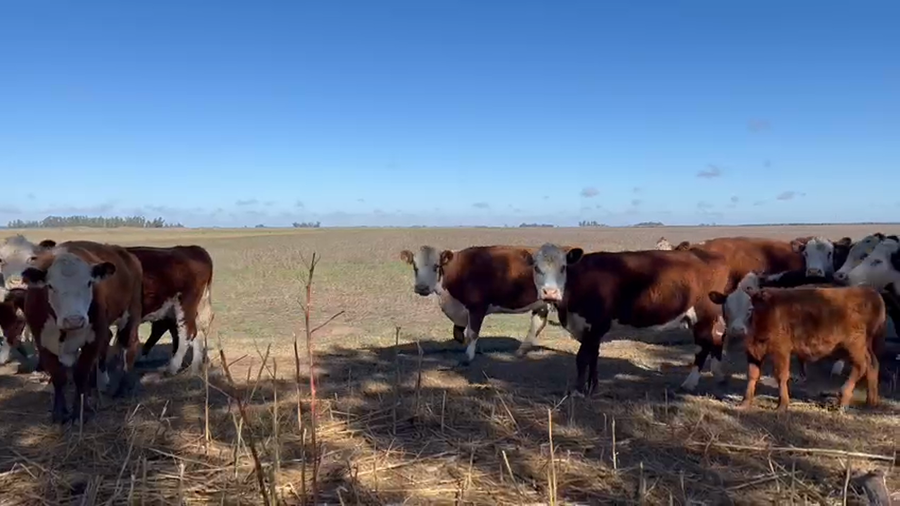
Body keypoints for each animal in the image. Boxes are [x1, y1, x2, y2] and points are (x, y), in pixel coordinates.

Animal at [21, 240, 144, 423]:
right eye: (50, 286)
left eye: (89, 283)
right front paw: (59, 412)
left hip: (131, 313)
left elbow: (80, 374)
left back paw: (123, 388)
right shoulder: (42, 341)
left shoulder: (92, 339)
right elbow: (58, 376)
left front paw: (79, 413)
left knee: (130, 345)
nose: (74, 319)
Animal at [399, 245, 550, 363]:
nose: (422, 288)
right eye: (415, 267)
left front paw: (469, 356)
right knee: (537, 325)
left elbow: (472, 333)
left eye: (436, 266)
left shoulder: (477, 307)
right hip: (541, 305)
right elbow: (458, 333)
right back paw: (520, 351)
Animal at [527, 243, 734, 396]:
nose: (550, 293)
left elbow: (583, 357)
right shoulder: (589, 329)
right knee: (716, 340)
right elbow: (593, 357)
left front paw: (578, 391)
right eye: (536, 268)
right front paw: (592, 387)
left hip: (704, 315)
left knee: (703, 346)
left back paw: (689, 383)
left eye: (563, 268)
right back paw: (719, 375)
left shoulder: (598, 324)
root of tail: (706, 254)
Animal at [708, 280, 885, 411]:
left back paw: (844, 397)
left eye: (750, 309)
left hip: (854, 344)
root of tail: (870, 292)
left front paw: (782, 405)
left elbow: (781, 375)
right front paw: (745, 403)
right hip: (862, 345)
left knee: (861, 365)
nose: (737, 330)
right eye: (726, 308)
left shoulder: (781, 349)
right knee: (873, 364)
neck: (764, 314)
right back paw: (871, 401)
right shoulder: (753, 351)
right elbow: (752, 375)